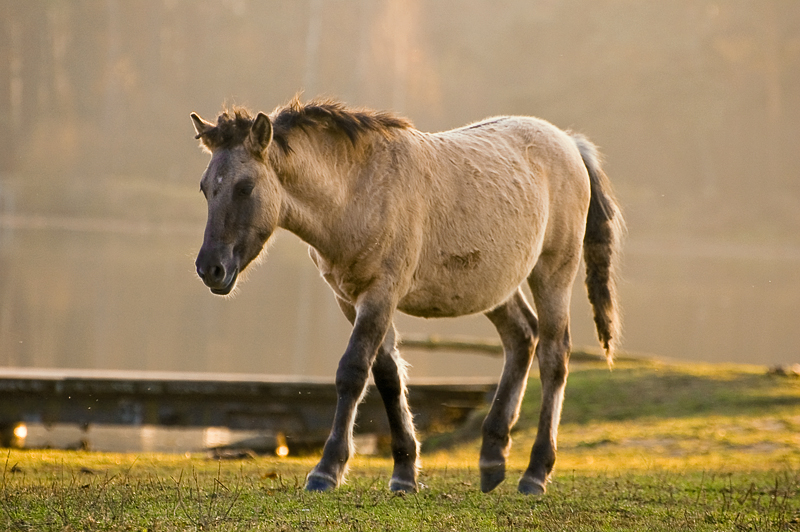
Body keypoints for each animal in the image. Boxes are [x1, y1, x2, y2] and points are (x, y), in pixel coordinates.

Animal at [191, 96, 620, 494]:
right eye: (205, 187)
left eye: (245, 187)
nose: (210, 268)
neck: (358, 191)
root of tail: (569, 142)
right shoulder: (351, 299)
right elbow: (388, 377)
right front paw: (403, 473)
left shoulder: (380, 294)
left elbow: (352, 372)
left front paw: (326, 470)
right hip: (497, 286)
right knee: (522, 337)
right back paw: (492, 458)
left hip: (553, 271)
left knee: (554, 356)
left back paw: (535, 473)